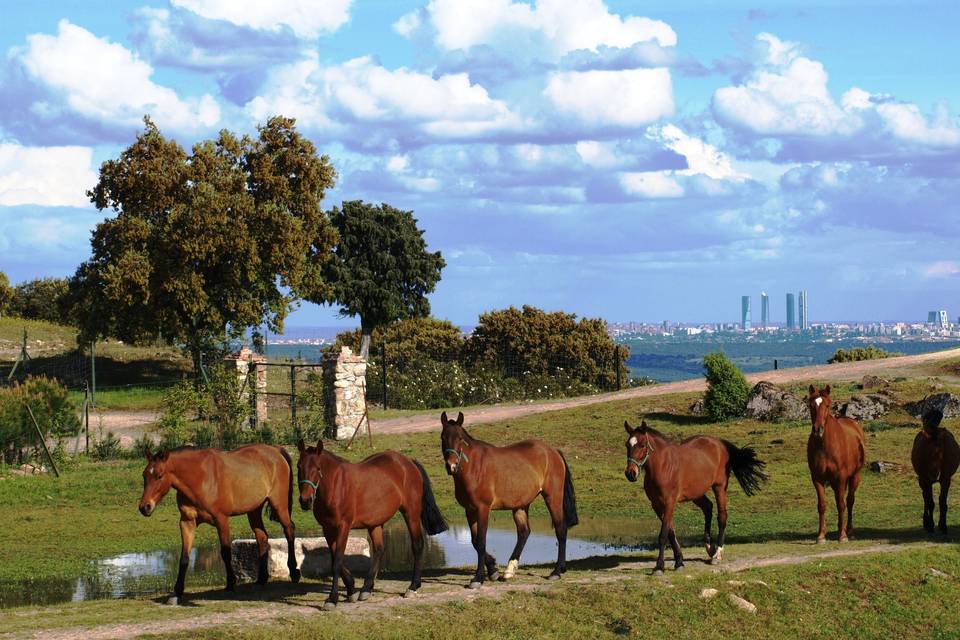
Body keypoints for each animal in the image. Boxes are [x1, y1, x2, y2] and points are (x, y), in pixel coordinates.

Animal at [137, 442, 298, 604]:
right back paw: (261, 580)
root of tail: (275, 450)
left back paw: (294, 572)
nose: (144, 507)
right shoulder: (187, 523)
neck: (200, 478)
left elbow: (225, 552)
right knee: (262, 538)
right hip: (254, 510)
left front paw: (231, 585)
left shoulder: (222, 520)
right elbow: (184, 558)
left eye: (159, 476)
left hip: (279, 505)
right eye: (144, 475)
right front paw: (177, 593)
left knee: (289, 530)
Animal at [294, 440, 448, 608]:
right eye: (299, 466)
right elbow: (335, 558)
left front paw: (332, 599)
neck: (336, 486)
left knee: (417, 545)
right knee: (379, 550)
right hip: (375, 523)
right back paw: (366, 588)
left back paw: (413, 586)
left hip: (411, 514)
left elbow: (337, 562)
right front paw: (351, 589)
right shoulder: (327, 528)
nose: (305, 501)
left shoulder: (343, 527)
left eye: (318, 468)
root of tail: (408, 462)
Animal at [440, 412, 576, 588]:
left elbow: (481, 541)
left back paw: (557, 571)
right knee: (524, 532)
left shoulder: (483, 509)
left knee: (560, 529)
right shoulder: (469, 510)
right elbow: (475, 541)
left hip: (552, 497)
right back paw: (509, 570)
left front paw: (478, 578)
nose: (451, 466)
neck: (474, 468)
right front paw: (492, 570)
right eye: (443, 437)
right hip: (521, 505)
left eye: (460, 438)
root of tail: (553, 451)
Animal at [624, 418, 764, 572]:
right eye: (627, 445)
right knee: (708, 507)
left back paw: (717, 554)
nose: (630, 473)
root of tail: (720, 443)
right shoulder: (656, 505)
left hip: (719, 487)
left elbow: (663, 535)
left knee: (722, 516)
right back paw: (710, 548)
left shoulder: (669, 503)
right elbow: (671, 532)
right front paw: (679, 561)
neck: (663, 467)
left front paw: (659, 566)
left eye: (642, 445)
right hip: (697, 493)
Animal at [808, 384, 868, 544]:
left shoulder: (841, 478)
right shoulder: (817, 478)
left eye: (827, 405)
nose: (818, 429)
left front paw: (842, 536)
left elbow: (842, 505)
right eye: (811, 405)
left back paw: (849, 531)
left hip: (854, 477)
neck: (824, 446)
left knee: (849, 501)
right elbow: (822, 505)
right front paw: (821, 536)